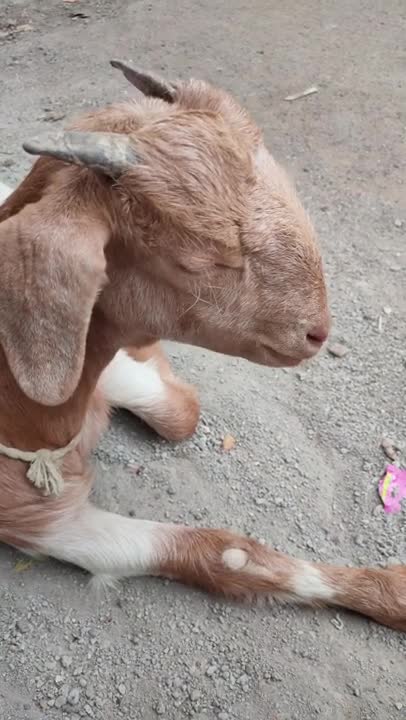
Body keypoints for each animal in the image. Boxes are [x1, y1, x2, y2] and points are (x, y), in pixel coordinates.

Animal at [0, 63, 404, 630]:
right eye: (199, 261)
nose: (316, 333)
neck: (23, 415)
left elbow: (180, 410)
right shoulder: (37, 518)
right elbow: (226, 554)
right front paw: (394, 592)